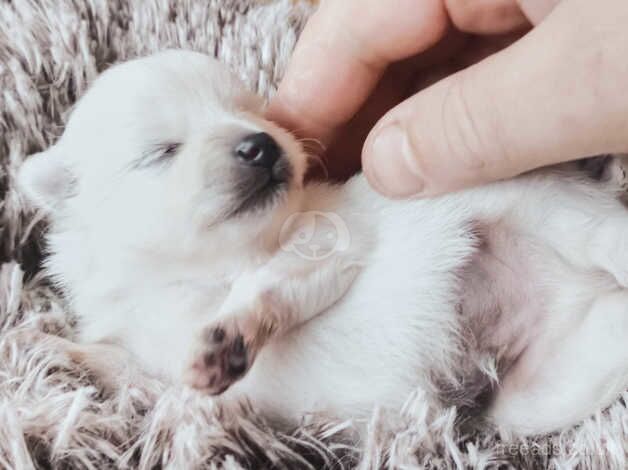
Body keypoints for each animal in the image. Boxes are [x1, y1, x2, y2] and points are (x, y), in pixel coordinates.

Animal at [15, 49, 628, 436]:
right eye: (162, 151)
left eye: (253, 113)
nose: (262, 144)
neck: (189, 273)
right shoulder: (151, 364)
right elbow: (123, 369)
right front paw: (52, 350)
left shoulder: (326, 243)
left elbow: (266, 286)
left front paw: (227, 337)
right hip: (538, 396)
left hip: (544, 208)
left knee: (601, 234)